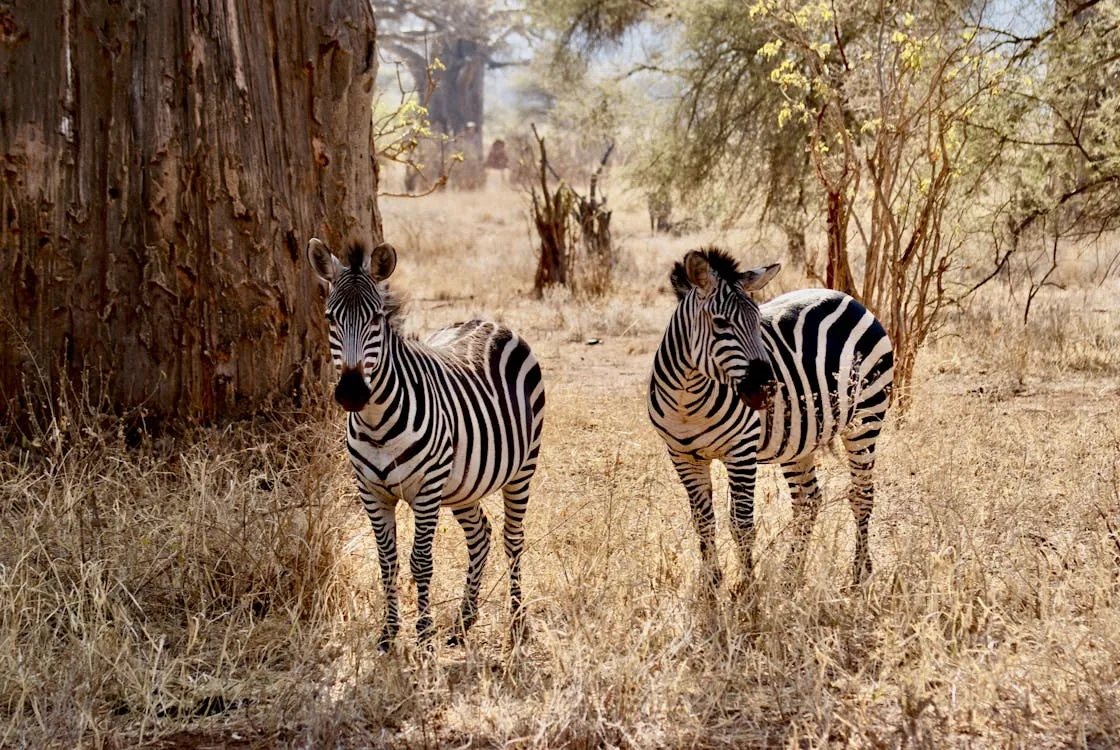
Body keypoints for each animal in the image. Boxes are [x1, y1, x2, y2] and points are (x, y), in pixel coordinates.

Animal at [309, 239, 544, 653]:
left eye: (376, 319)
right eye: (330, 318)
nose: (352, 393)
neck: (376, 423)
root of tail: (489, 322)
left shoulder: (426, 489)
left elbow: (420, 560)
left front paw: (423, 635)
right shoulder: (371, 492)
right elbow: (387, 560)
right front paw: (388, 634)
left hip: (521, 467)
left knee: (512, 539)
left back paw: (517, 624)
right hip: (463, 483)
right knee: (480, 536)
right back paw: (464, 622)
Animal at [649, 249, 891, 591]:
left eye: (757, 320)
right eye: (720, 323)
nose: (766, 388)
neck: (688, 400)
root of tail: (846, 297)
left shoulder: (741, 452)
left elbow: (742, 525)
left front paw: (747, 591)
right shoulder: (682, 455)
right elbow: (704, 522)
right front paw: (711, 587)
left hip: (866, 417)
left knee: (861, 495)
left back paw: (859, 575)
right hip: (799, 438)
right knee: (808, 500)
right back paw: (791, 575)